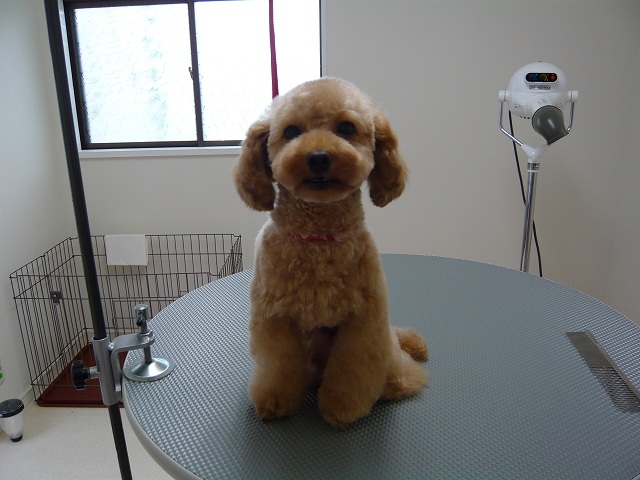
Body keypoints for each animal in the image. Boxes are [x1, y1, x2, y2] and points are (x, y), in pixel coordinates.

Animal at [233, 77, 428, 429]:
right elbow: (277, 365)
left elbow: (353, 367)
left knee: (401, 369)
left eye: (346, 128)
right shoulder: (274, 318)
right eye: (291, 131)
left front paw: (342, 408)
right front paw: (275, 402)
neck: (317, 238)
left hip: (385, 340)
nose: (319, 157)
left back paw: (396, 384)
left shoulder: (363, 321)